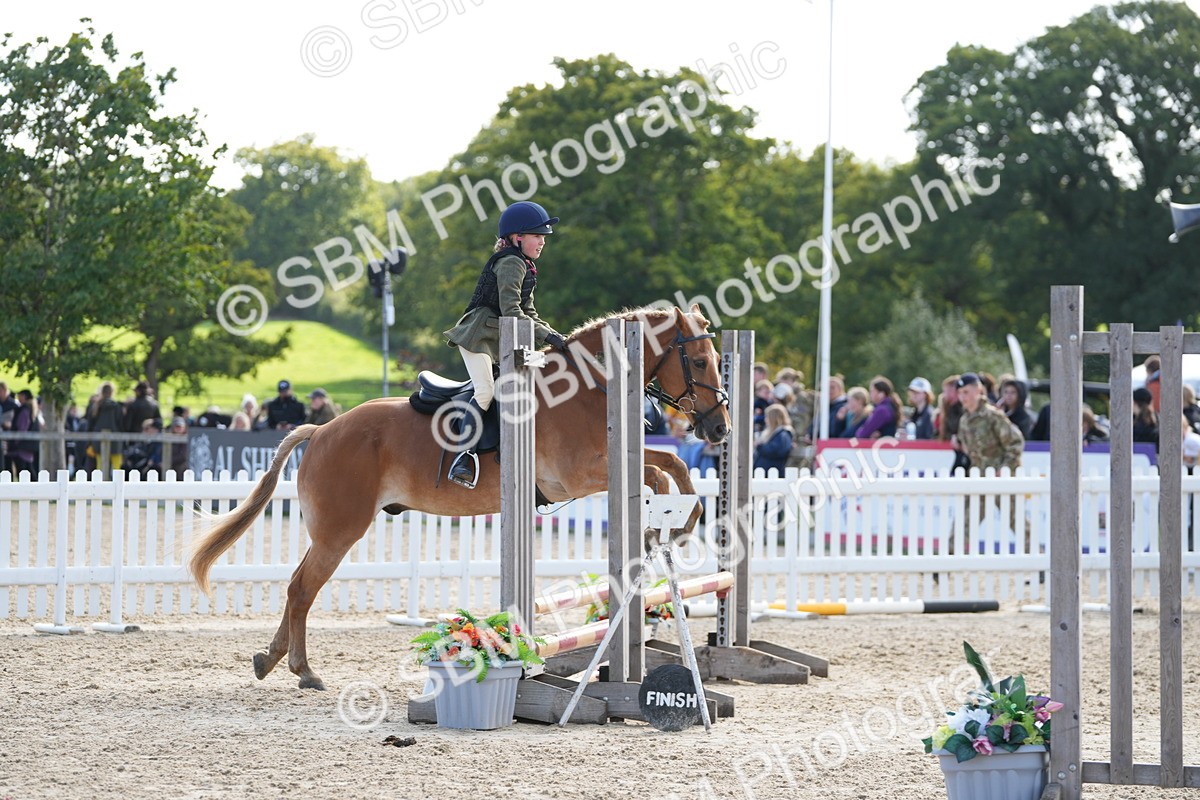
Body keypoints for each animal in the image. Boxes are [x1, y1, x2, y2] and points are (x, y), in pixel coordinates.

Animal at [188, 305, 731, 690]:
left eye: (720, 361)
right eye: (700, 360)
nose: (720, 429)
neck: (587, 388)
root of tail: (321, 430)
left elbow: (673, 464)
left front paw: (684, 520)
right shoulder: (577, 478)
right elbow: (657, 473)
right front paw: (670, 521)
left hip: (331, 529)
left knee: (296, 585)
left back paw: (269, 659)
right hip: (340, 530)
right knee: (303, 588)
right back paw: (304, 671)